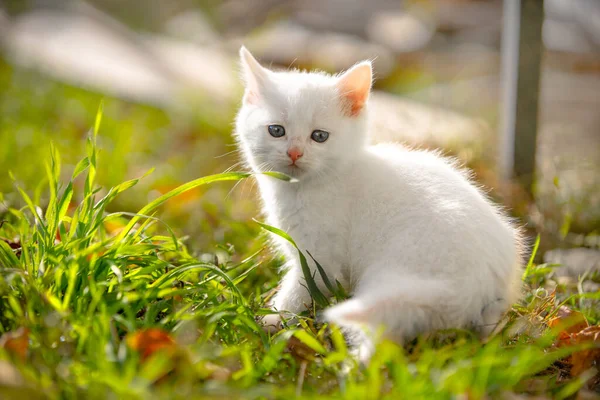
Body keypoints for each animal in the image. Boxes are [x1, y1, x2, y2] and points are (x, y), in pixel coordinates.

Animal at [232, 47, 524, 362]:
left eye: (319, 136)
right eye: (276, 130)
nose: (295, 153)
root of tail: (476, 287)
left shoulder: (321, 258)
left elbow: (300, 288)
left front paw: (273, 318)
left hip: (394, 274)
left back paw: (355, 365)